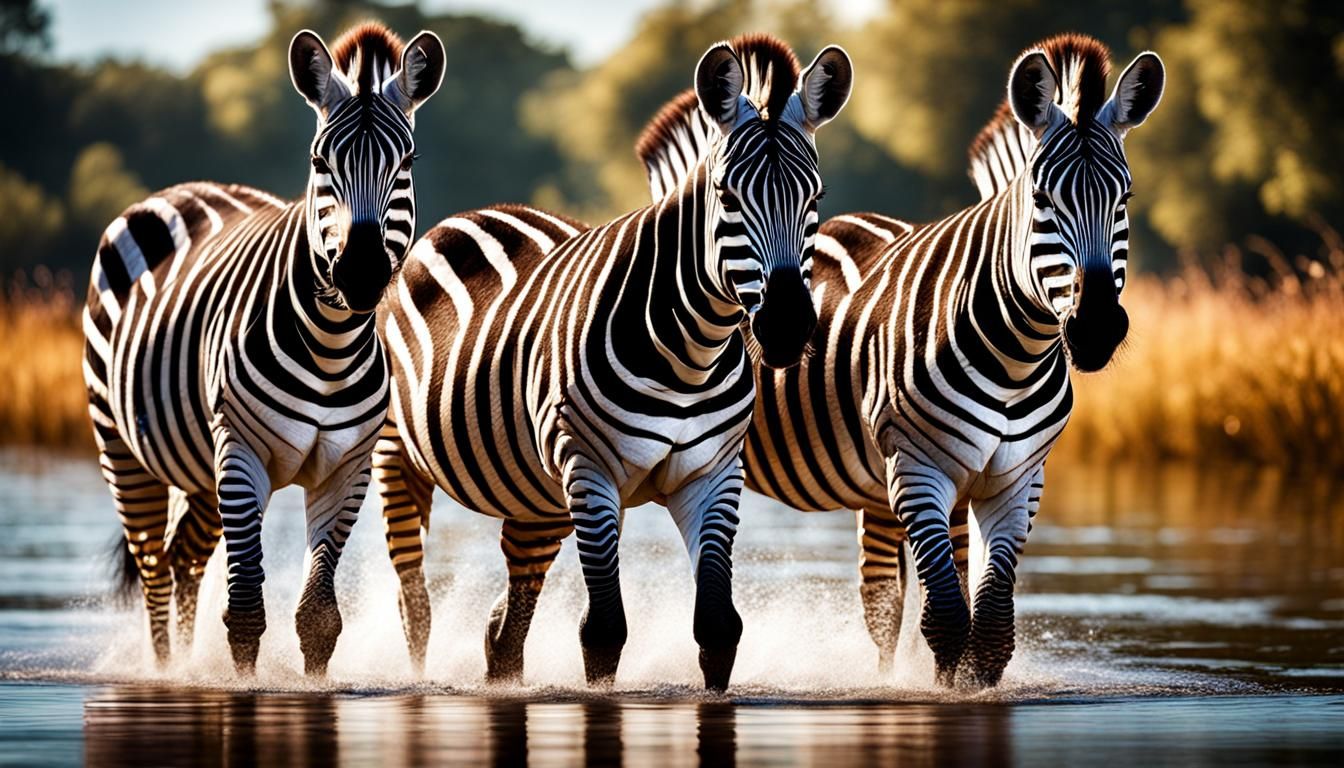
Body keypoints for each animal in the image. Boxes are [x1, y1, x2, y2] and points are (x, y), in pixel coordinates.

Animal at [83, 22, 446, 674]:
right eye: (319, 161)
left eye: (405, 161)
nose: (359, 273)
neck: (330, 347)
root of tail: (183, 188)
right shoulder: (241, 454)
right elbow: (247, 609)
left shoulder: (346, 469)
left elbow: (319, 617)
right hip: (121, 445)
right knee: (152, 568)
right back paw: (167, 672)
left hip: (199, 466)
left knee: (182, 558)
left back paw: (186, 664)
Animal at [373, 34, 852, 690]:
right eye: (726, 194)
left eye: (816, 196)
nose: (784, 326)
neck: (690, 353)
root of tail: (475, 214)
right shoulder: (589, 467)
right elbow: (603, 631)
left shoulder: (712, 476)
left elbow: (718, 628)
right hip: (399, 451)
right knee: (413, 598)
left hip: (536, 495)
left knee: (507, 622)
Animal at [635, 33, 1164, 687]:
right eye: (1042, 198)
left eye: (1125, 197)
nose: (1094, 330)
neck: (1015, 358)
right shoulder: (919, 469)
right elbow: (948, 619)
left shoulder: (1017, 481)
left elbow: (990, 630)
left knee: (884, 604)